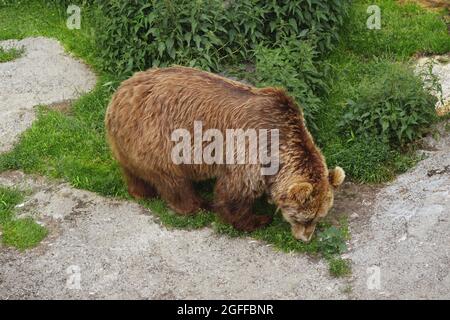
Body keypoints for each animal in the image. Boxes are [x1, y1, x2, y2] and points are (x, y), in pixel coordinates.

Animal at [105, 67, 344, 242]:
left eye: (319, 217)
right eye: (304, 218)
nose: (305, 239)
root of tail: (119, 94)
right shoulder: (250, 148)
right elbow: (235, 192)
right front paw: (257, 219)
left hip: (128, 142)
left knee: (134, 171)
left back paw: (142, 192)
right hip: (160, 138)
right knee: (174, 180)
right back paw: (197, 205)